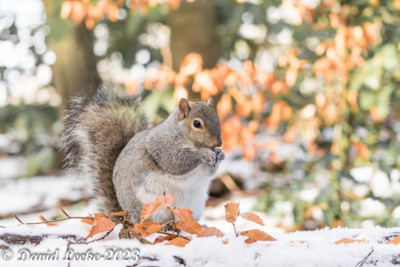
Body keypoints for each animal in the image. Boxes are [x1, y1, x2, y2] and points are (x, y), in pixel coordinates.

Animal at [61, 88, 225, 224]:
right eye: (197, 123)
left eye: (217, 119)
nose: (218, 143)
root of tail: (127, 217)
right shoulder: (162, 146)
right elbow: (175, 162)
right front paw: (204, 154)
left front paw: (220, 154)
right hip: (147, 206)